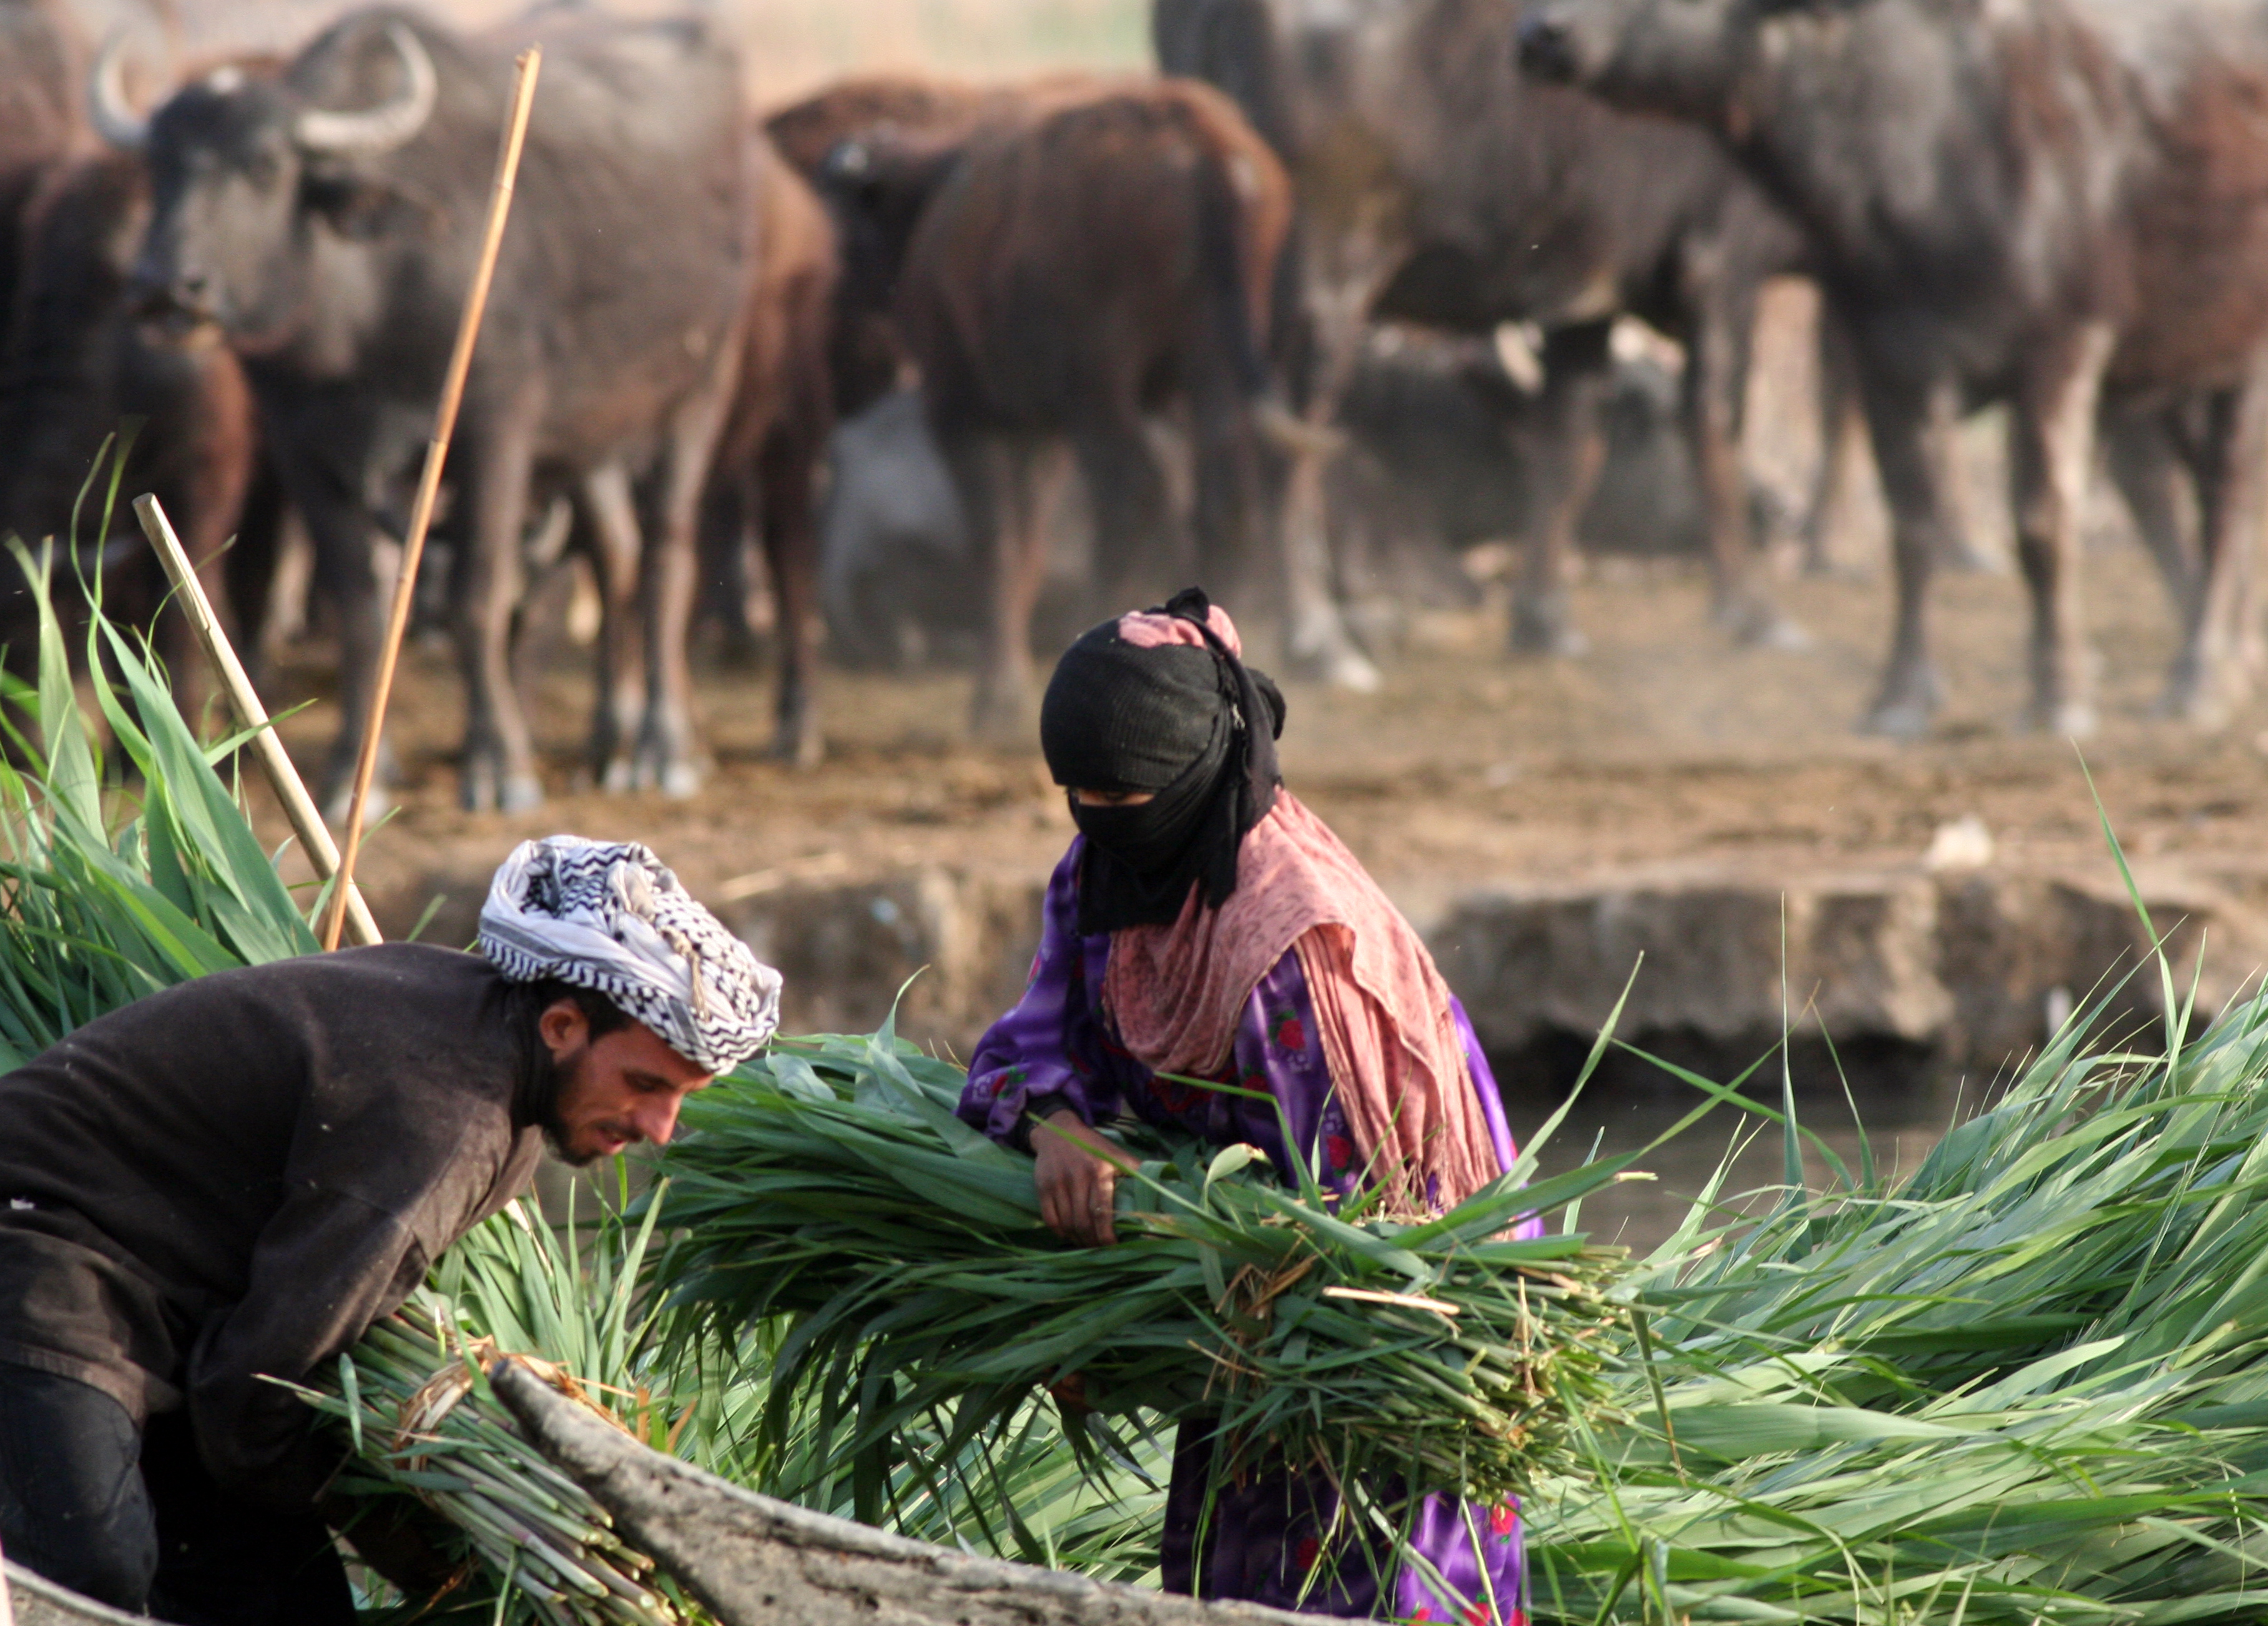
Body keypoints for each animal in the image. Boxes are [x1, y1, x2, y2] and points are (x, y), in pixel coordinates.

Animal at [107, 6, 752, 807]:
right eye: (157, 170)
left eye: (266, 167)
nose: (165, 287)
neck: (367, 318)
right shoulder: (302, 448)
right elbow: (360, 608)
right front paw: (354, 773)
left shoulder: (496, 428)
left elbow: (479, 594)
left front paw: (499, 764)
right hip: (591, 435)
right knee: (616, 555)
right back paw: (612, 740)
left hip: (700, 387)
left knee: (666, 555)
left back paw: (665, 748)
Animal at [1161, 1, 1814, 657]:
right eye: (1645, 420)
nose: (1781, 510)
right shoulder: (1722, 267)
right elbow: (1715, 430)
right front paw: (1753, 611)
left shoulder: (1582, 300)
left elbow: (1569, 448)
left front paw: (1544, 620)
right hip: (1320, 275)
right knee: (1283, 444)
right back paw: (1317, 634)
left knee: (1219, 435)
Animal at [1515, 0, 2268, 730]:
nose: (1539, 32)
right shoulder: (1890, 362)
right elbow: (1911, 527)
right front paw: (1900, 694)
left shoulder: (2061, 351)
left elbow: (2043, 524)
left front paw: (2059, 696)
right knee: (2166, 489)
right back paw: (2230, 657)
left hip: (2236, 357)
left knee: (2228, 497)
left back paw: (2201, 675)